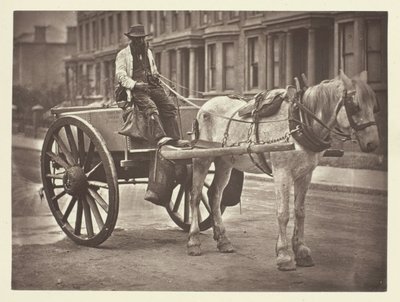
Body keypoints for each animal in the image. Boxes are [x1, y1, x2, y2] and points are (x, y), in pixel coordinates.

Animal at [186, 71, 380, 272]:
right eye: (355, 106)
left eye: (374, 106)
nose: (373, 144)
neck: (299, 122)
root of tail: (204, 107)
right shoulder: (282, 171)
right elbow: (283, 213)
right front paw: (284, 254)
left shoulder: (305, 174)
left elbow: (300, 211)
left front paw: (301, 250)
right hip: (201, 158)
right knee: (195, 196)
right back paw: (193, 241)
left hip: (224, 160)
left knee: (214, 195)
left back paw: (223, 239)